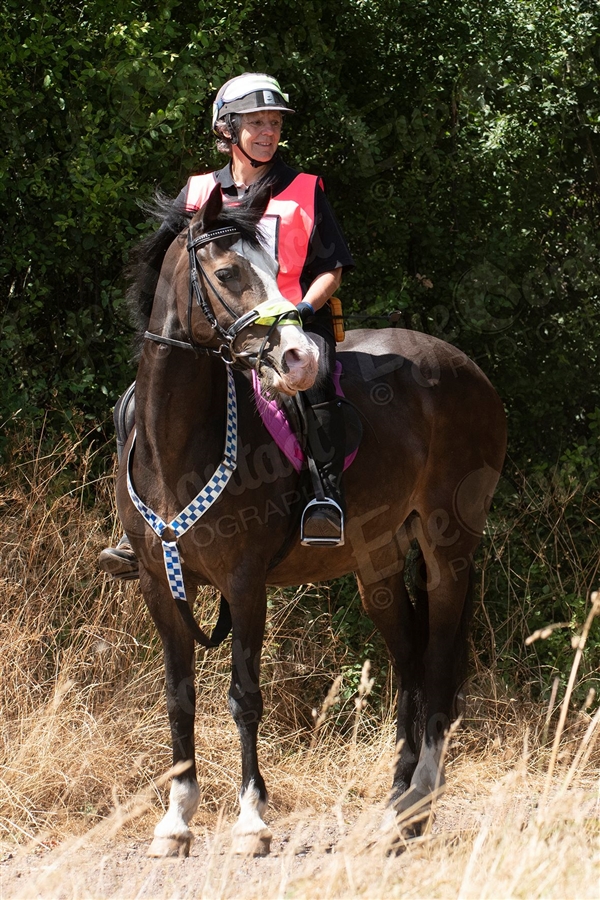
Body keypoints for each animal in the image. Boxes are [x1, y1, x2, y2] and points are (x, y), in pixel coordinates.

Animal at [116, 185, 506, 856]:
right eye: (227, 273)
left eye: (276, 268)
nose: (295, 358)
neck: (177, 446)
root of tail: (469, 370)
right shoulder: (158, 585)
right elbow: (178, 696)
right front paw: (176, 819)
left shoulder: (245, 584)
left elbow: (244, 698)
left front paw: (251, 819)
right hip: (377, 563)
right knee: (408, 661)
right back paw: (395, 803)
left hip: (448, 549)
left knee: (435, 665)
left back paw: (420, 802)